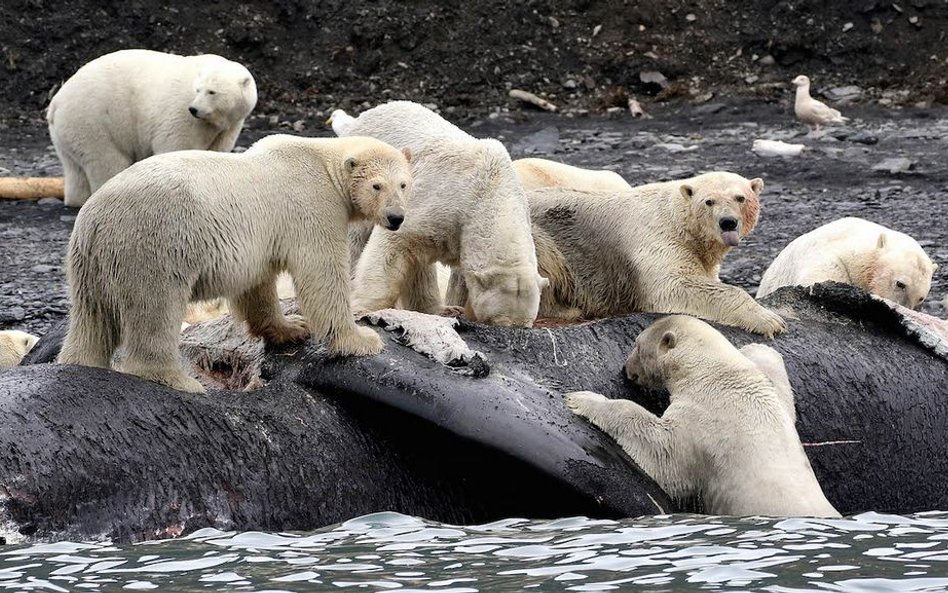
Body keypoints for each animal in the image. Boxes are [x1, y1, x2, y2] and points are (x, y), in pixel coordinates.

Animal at [46, 50, 258, 208]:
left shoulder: (227, 125)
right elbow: (177, 146)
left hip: (67, 130)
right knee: (107, 161)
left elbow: (216, 150)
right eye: (198, 90)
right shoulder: (181, 116)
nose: (193, 109)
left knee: (74, 167)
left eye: (212, 92)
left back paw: (77, 199)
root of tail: (56, 102)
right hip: (93, 120)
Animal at [57, 135, 412, 394]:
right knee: (155, 309)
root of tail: (94, 219)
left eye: (404, 184)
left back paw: (81, 362)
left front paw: (291, 328)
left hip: (92, 263)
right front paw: (361, 340)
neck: (322, 162)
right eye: (377, 185)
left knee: (92, 320)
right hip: (153, 245)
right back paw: (178, 379)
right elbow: (322, 275)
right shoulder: (312, 207)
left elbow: (257, 285)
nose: (396, 217)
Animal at [524, 171, 784, 338]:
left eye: (740, 198)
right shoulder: (657, 241)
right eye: (708, 201)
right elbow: (674, 285)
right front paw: (770, 320)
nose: (728, 222)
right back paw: (567, 309)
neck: (675, 218)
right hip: (535, 234)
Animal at [564, 314, 836, 520]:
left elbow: (663, 452)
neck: (711, 372)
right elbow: (774, 377)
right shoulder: (771, 397)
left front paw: (582, 399)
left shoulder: (703, 418)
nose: (626, 369)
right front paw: (755, 346)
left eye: (637, 345)